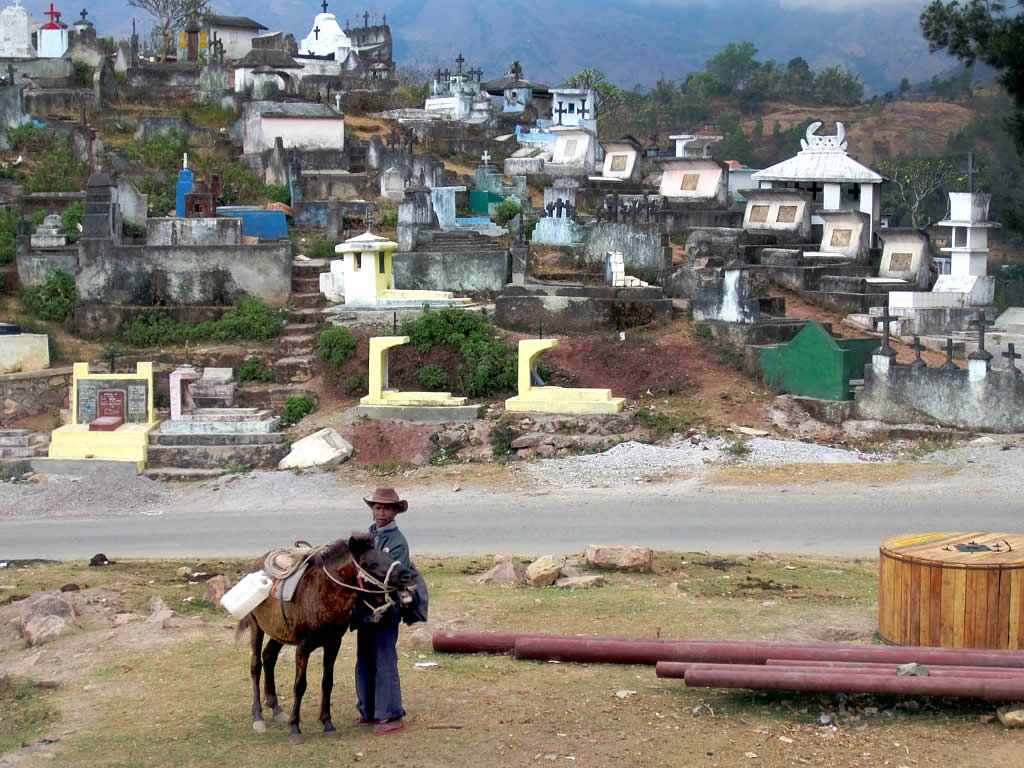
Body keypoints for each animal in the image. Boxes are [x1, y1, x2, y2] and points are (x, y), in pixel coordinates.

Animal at [235, 536, 415, 745]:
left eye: (388, 556)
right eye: (371, 564)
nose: (407, 575)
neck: (322, 596)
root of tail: (255, 565)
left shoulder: (333, 643)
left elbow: (327, 683)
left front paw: (327, 724)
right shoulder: (303, 647)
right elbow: (299, 686)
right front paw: (295, 728)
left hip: (279, 632)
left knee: (269, 657)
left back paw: (276, 708)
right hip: (256, 627)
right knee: (256, 665)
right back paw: (258, 716)